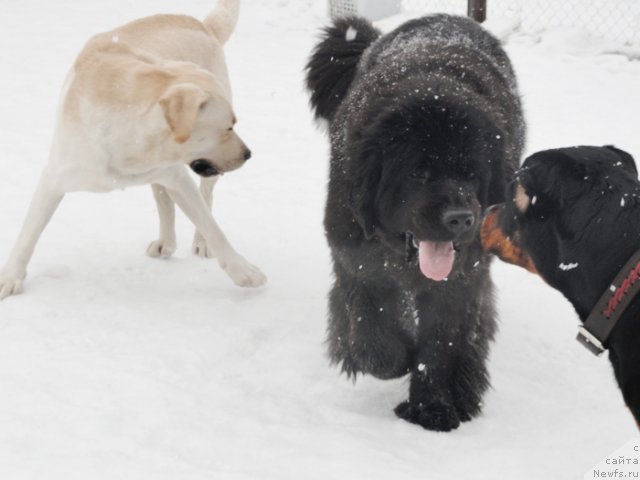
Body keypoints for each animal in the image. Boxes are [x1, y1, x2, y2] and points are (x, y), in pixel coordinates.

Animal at [306, 15, 524, 432]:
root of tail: (448, 18)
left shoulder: (459, 281)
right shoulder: (356, 259)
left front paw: (433, 408)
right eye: (418, 173)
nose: (460, 217)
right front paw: (392, 359)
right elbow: (373, 335)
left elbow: (440, 345)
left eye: (472, 174)